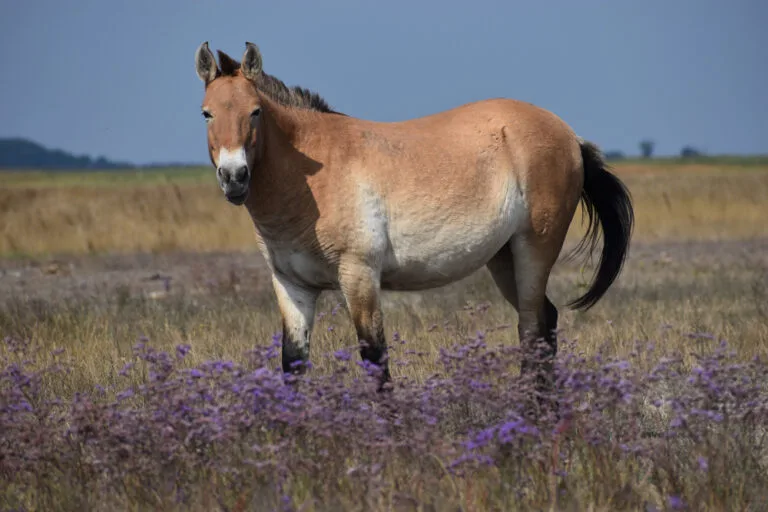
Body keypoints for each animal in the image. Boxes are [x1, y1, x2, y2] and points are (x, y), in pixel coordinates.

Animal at [193, 41, 634, 400]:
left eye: (255, 112)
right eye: (206, 114)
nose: (234, 177)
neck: (312, 179)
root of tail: (569, 135)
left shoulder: (359, 277)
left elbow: (375, 360)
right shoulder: (292, 286)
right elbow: (293, 364)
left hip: (534, 251)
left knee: (532, 328)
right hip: (504, 258)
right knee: (546, 325)